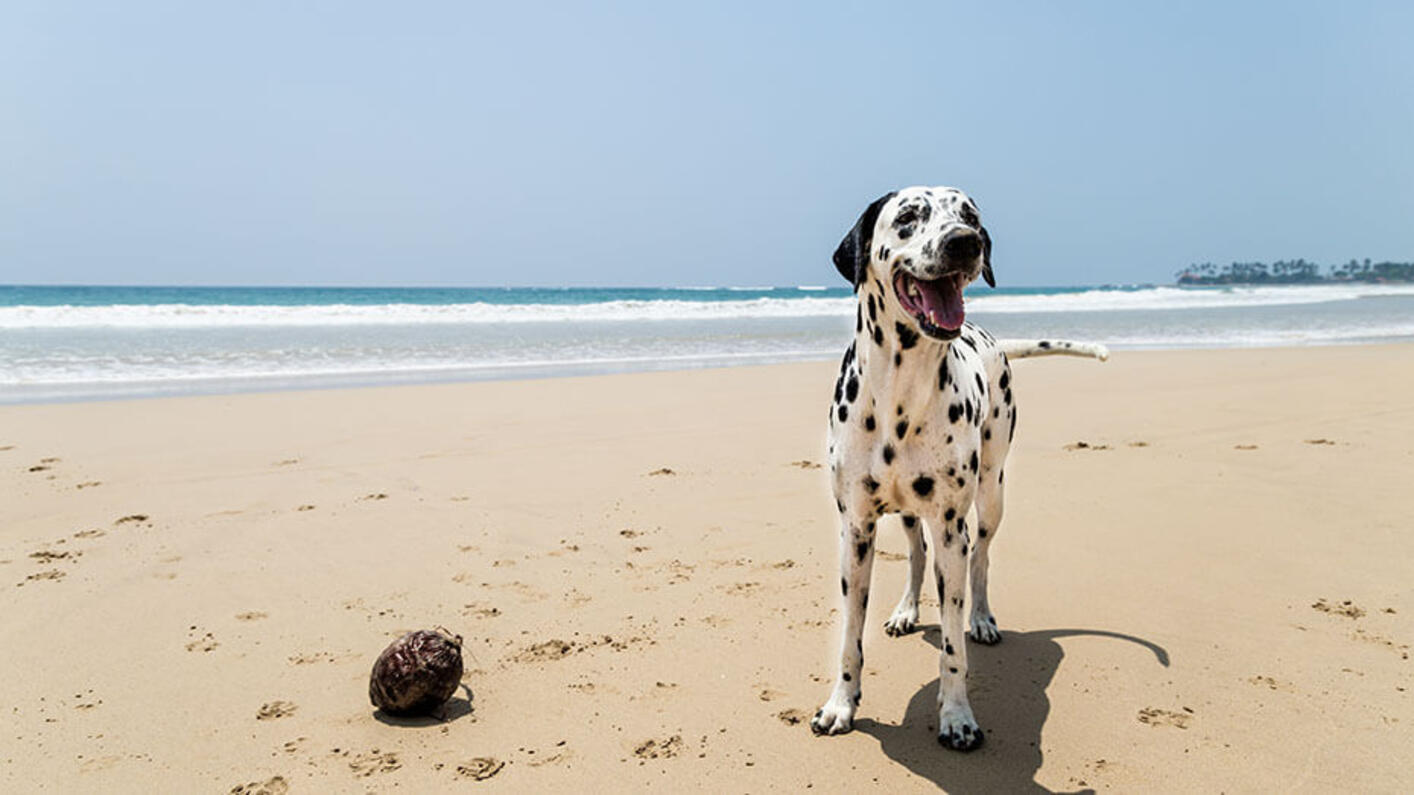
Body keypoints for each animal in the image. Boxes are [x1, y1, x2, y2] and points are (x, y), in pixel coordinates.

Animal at [814, 186, 1108, 746]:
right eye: (909, 216)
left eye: (969, 215)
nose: (964, 242)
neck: (900, 396)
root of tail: (987, 336)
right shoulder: (854, 530)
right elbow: (848, 637)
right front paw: (840, 704)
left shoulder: (952, 528)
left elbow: (953, 644)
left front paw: (956, 715)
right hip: (910, 515)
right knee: (915, 554)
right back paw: (906, 610)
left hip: (991, 495)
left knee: (981, 561)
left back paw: (984, 619)